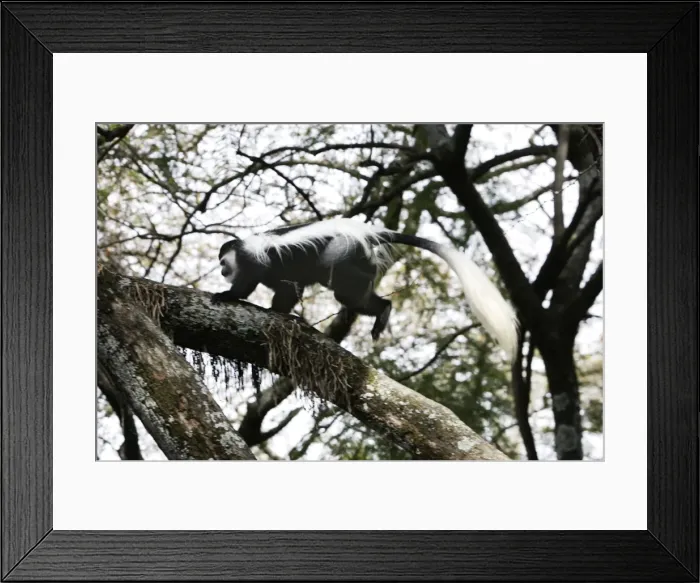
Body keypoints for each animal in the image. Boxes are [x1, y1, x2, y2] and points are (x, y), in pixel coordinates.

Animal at [212, 217, 519, 361]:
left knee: (342, 287)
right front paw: (282, 312)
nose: (222, 271)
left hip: (340, 250)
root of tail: (367, 232)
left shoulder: (256, 261)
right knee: (360, 291)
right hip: (356, 256)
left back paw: (380, 310)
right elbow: (289, 290)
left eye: (223, 262)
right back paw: (383, 310)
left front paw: (228, 295)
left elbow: (262, 287)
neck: (243, 250)